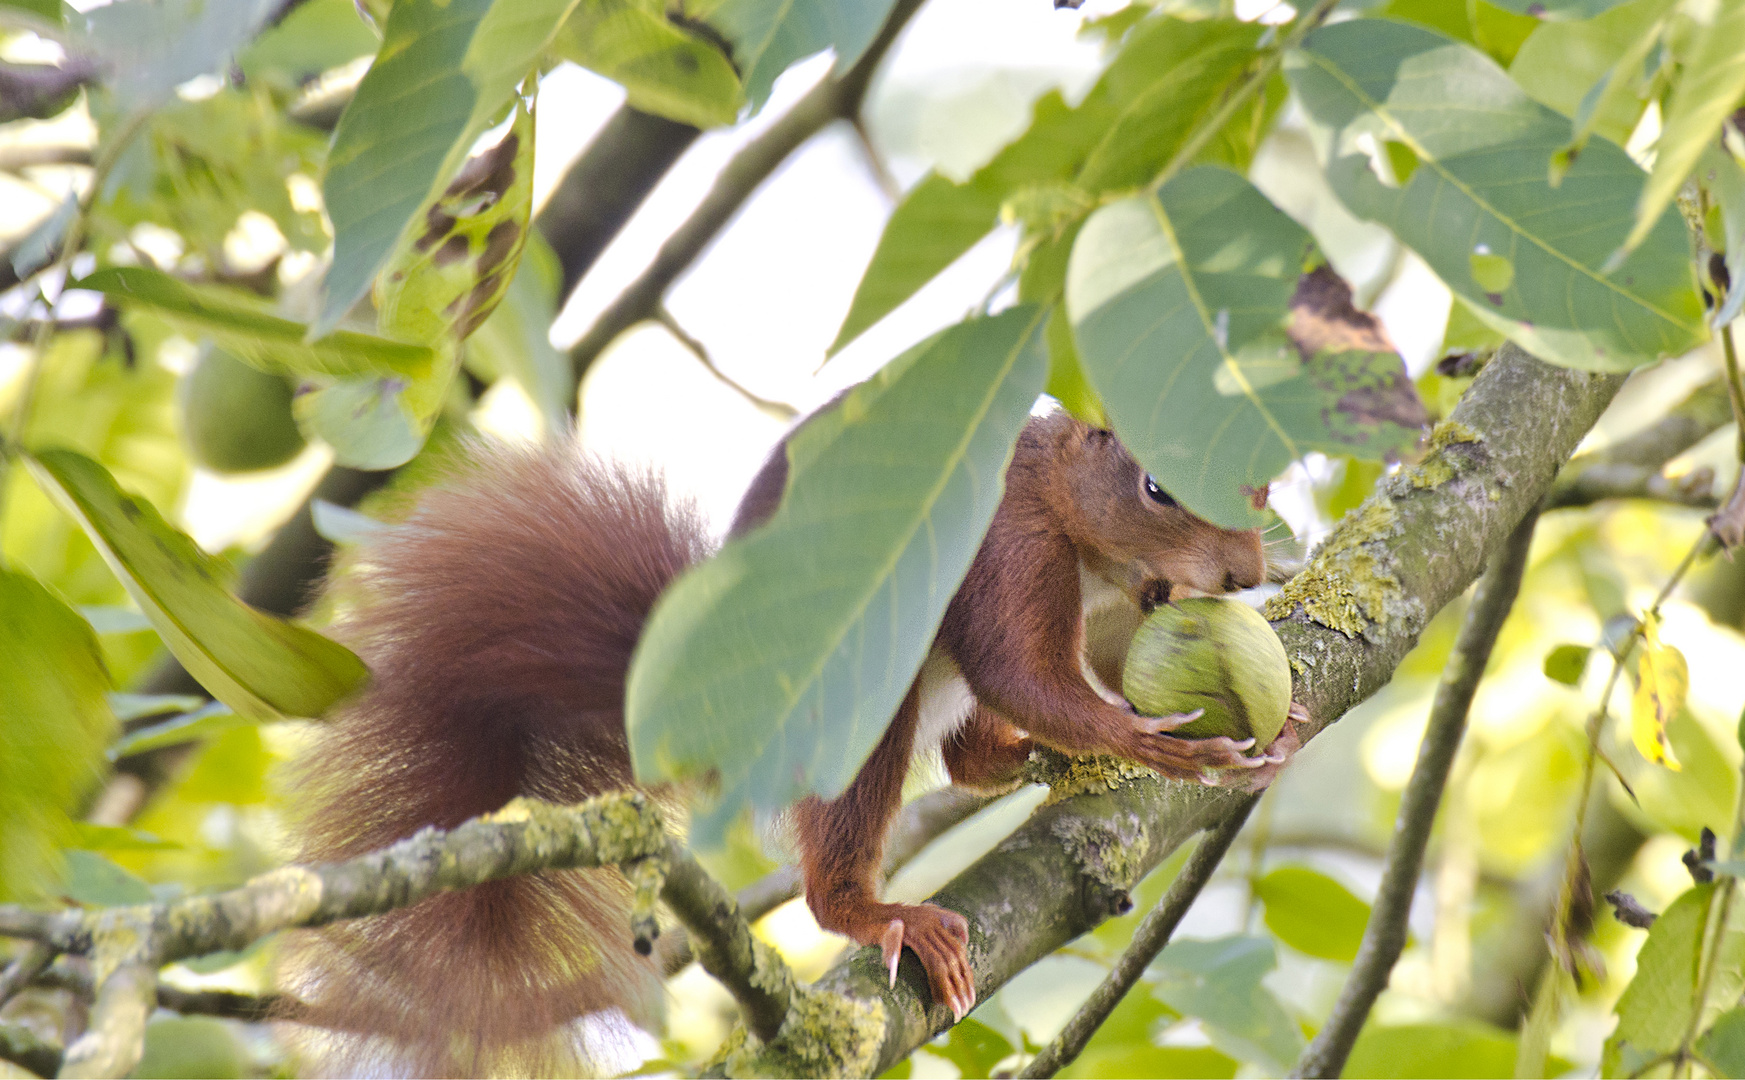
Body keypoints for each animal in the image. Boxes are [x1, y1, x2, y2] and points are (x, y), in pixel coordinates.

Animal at [282, 403, 1298, 1074]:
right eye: (1156, 486)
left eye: (1261, 477)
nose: (1246, 573)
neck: (1095, 550)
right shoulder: (1009, 544)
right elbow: (1022, 675)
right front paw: (1164, 748)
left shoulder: (1129, 602)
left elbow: (1092, 668)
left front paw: (1267, 725)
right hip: (858, 709)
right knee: (865, 830)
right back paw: (885, 914)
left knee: (969, 755)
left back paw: (1043, 763)